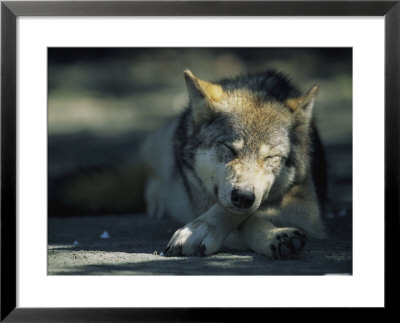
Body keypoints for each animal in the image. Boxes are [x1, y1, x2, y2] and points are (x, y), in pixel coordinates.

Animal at [139, 69, 326, 260]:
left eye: (270, 157)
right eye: (230, 148)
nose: (243, 197)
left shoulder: (310, 212)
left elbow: (247, 214)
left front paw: (279, 237)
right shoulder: (202, 202)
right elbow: (238, 215)